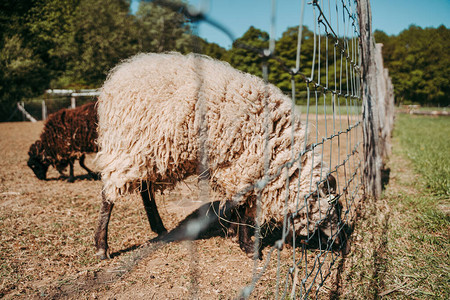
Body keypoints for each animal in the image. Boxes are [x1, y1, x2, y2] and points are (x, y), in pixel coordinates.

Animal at [95, 52, 340, 258]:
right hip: (127, 145)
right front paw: (248, 247)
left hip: (148, 153)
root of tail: (120, 73)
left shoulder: (237, 170)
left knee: (145, 190)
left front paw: (232, 232)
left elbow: (235, 205)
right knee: (109, 195)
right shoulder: (244, 168)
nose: (341, 244)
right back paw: (101, 247)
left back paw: (159, 227)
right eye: (335, 208)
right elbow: (243, 209)